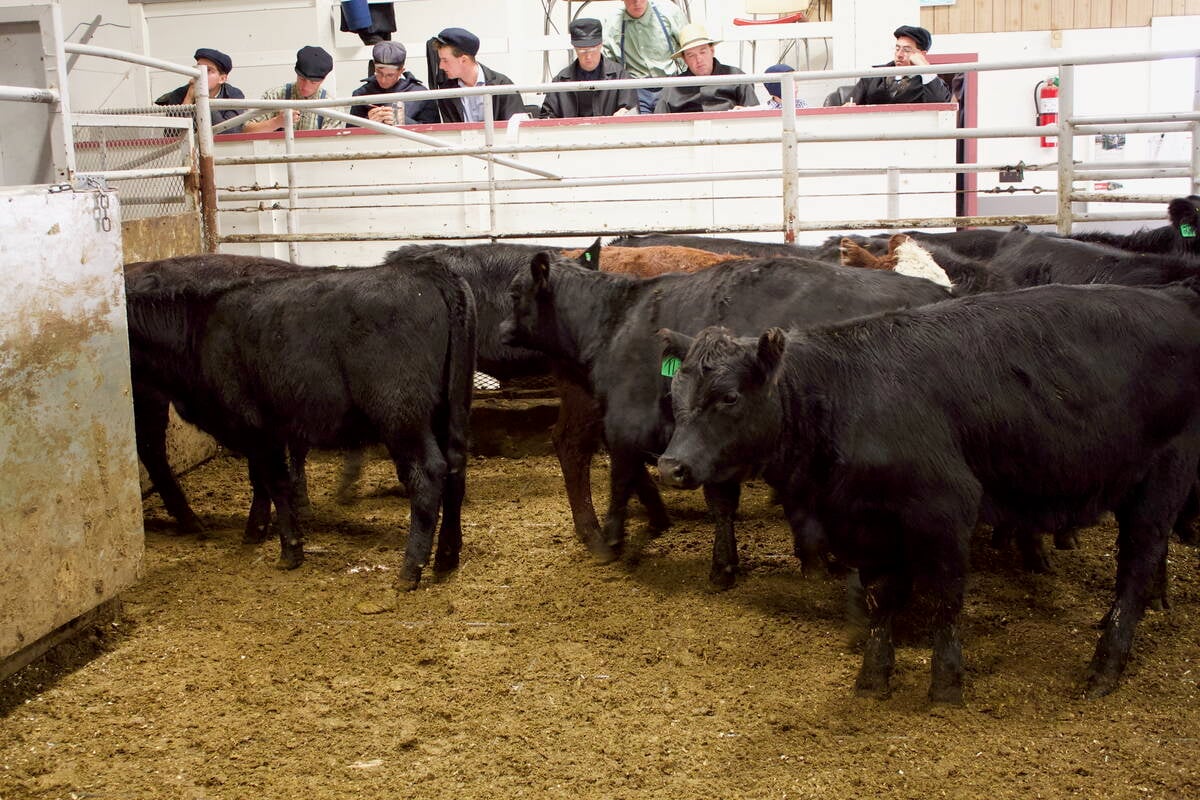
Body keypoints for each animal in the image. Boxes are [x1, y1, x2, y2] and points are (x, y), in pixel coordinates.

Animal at [125, 254, 476, 587]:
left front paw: (289, 550)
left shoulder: (253, 423)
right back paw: (447, 559)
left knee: (427, 474)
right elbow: (265, 480)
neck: (200, 328)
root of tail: (426, 271)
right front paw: (258, 531)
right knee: (455, 468)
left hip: (401, 413)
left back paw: (410, 570)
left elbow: (275, 482)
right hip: (453, 407)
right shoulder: (269, 428)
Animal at [500, 245, 950, 587]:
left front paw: (612, 539)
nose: (502, 330)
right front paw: (728, 563)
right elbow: (719, 500)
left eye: (515, 293)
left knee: (573, 446)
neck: (617, 319)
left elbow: (622, 478)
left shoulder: (628, 421)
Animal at [656, 282, 1200, 702]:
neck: (847, 395)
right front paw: (873, 676)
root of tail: (1174, 296)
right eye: (674, 394)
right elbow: (882, 598)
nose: (670, 466)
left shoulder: (946, 508)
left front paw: (946, 683)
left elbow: (945, 597)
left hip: (1163, 480)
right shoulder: (868, 523)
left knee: (1137, 565)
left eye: (729, 397)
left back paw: (1106, 665)